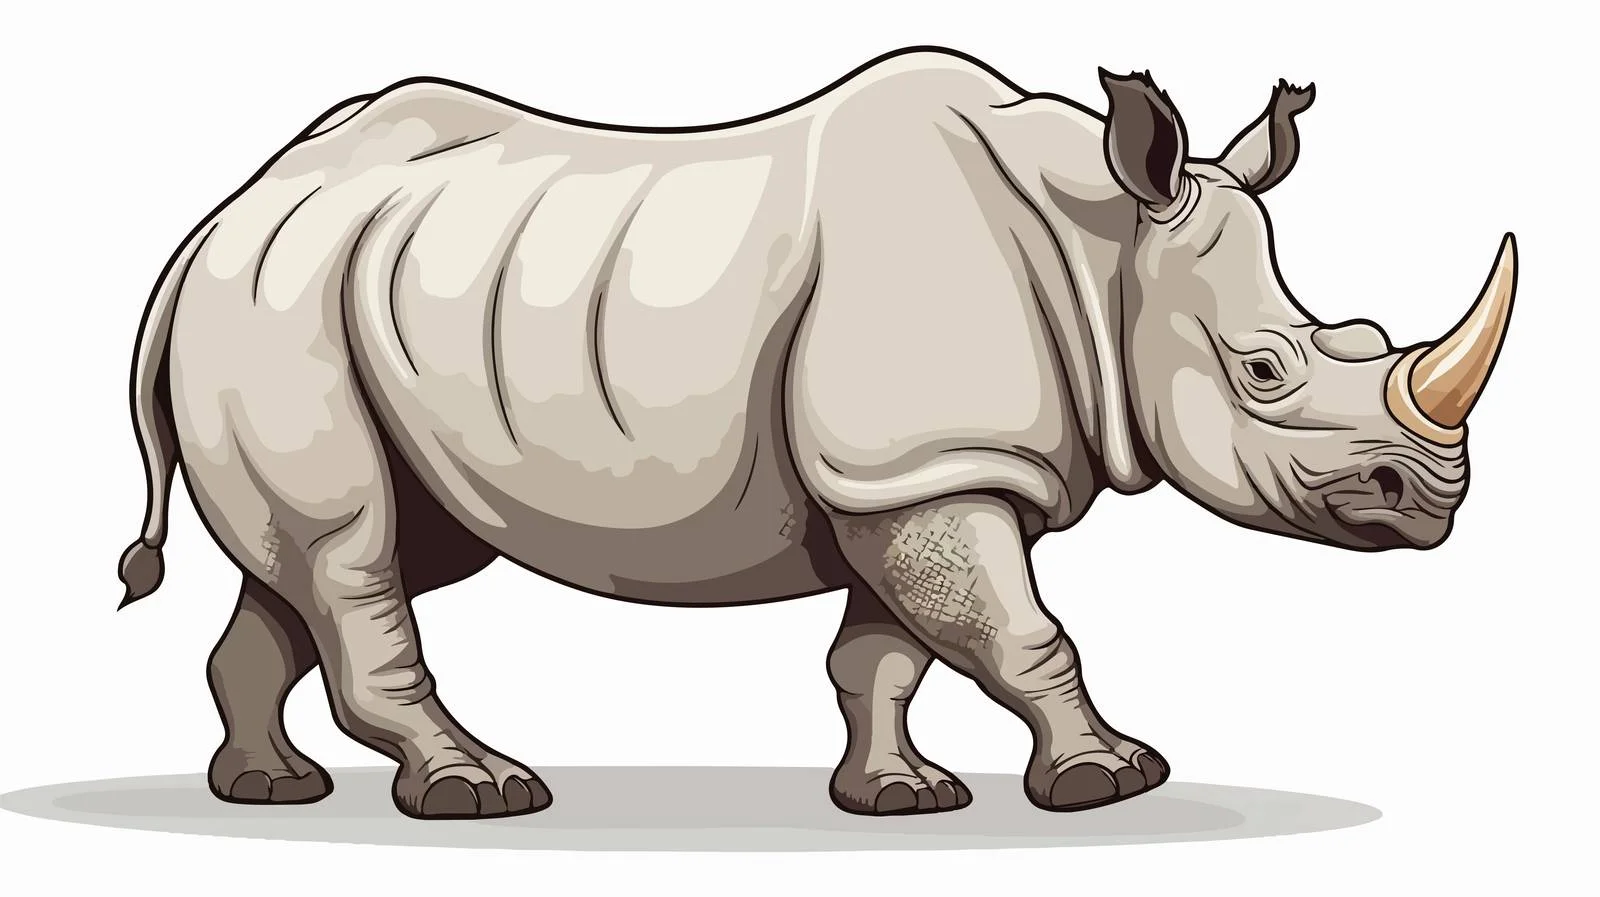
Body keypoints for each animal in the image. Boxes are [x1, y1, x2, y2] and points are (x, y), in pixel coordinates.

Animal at [117, 47, 1516, 819]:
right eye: (1266, 369)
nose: (1433, 502)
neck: (1102, 245)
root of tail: (222, 216)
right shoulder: (925, 462)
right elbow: (1022, 633)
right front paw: (1112, 779)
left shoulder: (907, 476)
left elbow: (889, 651)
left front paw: (899, 799)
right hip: (277, 304)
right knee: (355, 554)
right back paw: (482, 795)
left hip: (337, 293)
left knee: (352, 556)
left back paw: (267, 791)